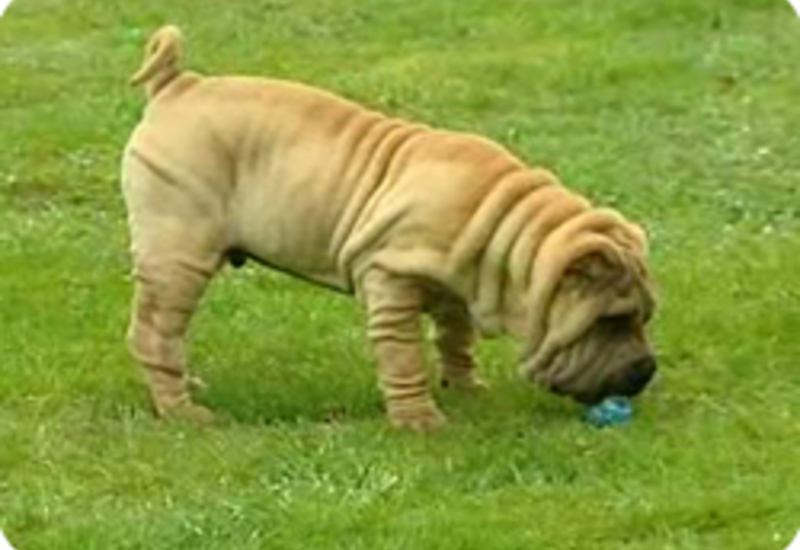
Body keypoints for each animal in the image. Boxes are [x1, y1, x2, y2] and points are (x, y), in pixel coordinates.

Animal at [120, 24, 656, 432]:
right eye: (610, 321)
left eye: (645, 317)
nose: (647, 370)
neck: (505, 232)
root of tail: (177, 85)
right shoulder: (390, 280)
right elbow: (404, 357)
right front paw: (419, 421)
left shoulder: (457, 283)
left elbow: (455, 337)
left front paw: (468, 391)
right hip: (179, 253)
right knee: (155, 332)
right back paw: (183, 411)